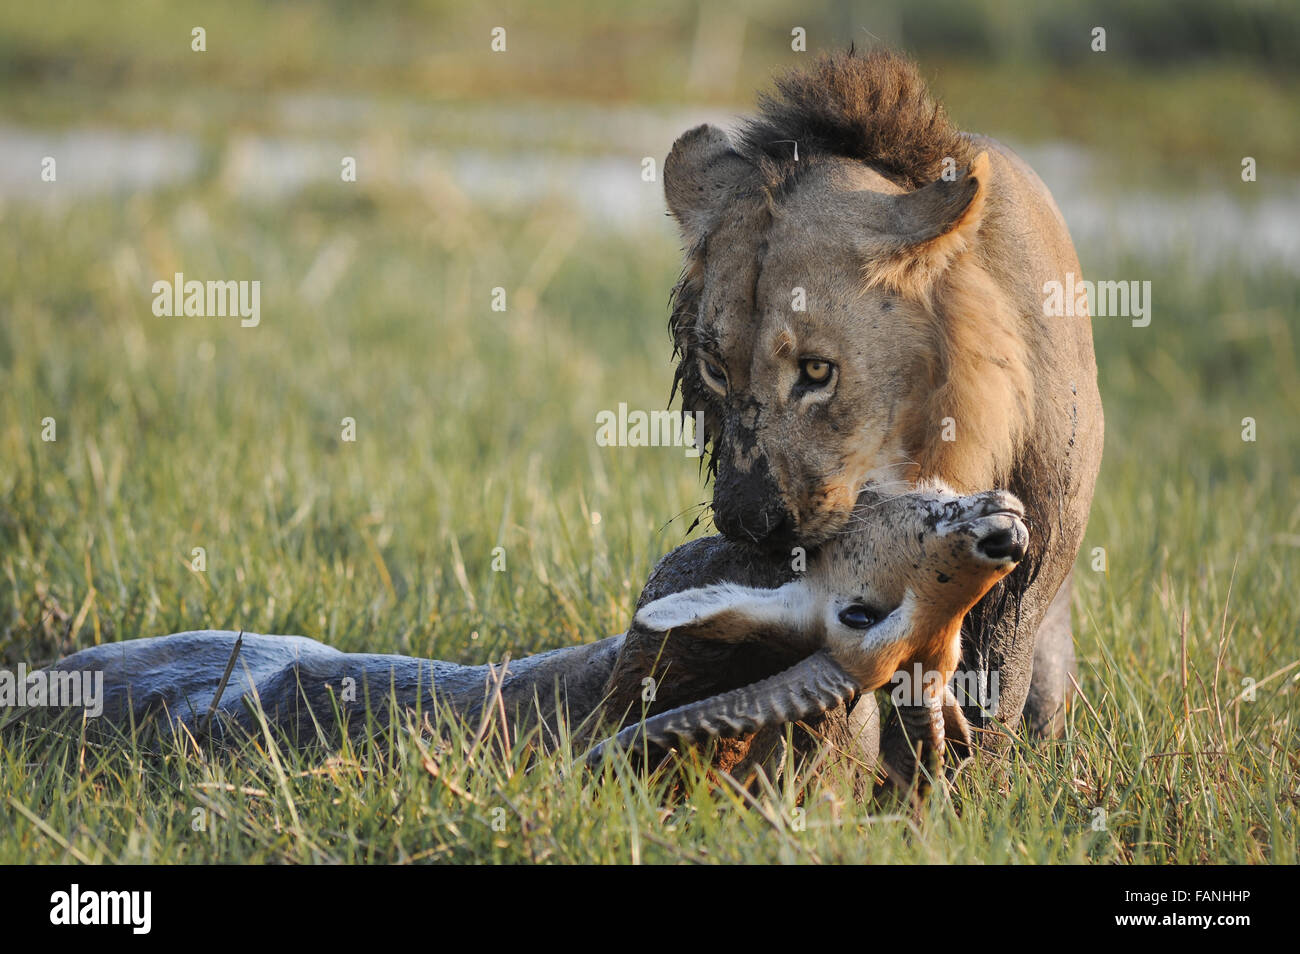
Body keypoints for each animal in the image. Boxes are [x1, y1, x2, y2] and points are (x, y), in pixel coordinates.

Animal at [655, 50, 1102, 769]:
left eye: (817, 371)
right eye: (715, 370)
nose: (748, 522)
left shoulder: (1037, 553)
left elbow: (995, 676)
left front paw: (973, 784)